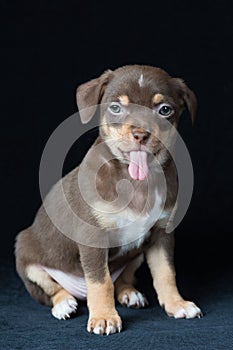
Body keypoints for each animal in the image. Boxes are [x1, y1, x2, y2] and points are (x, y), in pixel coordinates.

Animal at [15, 64, 202, 334]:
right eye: (115, 108)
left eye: (164, 110)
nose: (140, 134)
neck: (136, 182)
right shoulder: (92, 237)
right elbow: (100, 282)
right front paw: (104, 317)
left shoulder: (162, 234)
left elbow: (166, 273)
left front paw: (177, 304)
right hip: (26, 257)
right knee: (50, 290)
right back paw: (64, 304)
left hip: (137, 253)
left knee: (121, 279)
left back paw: (129, 293)